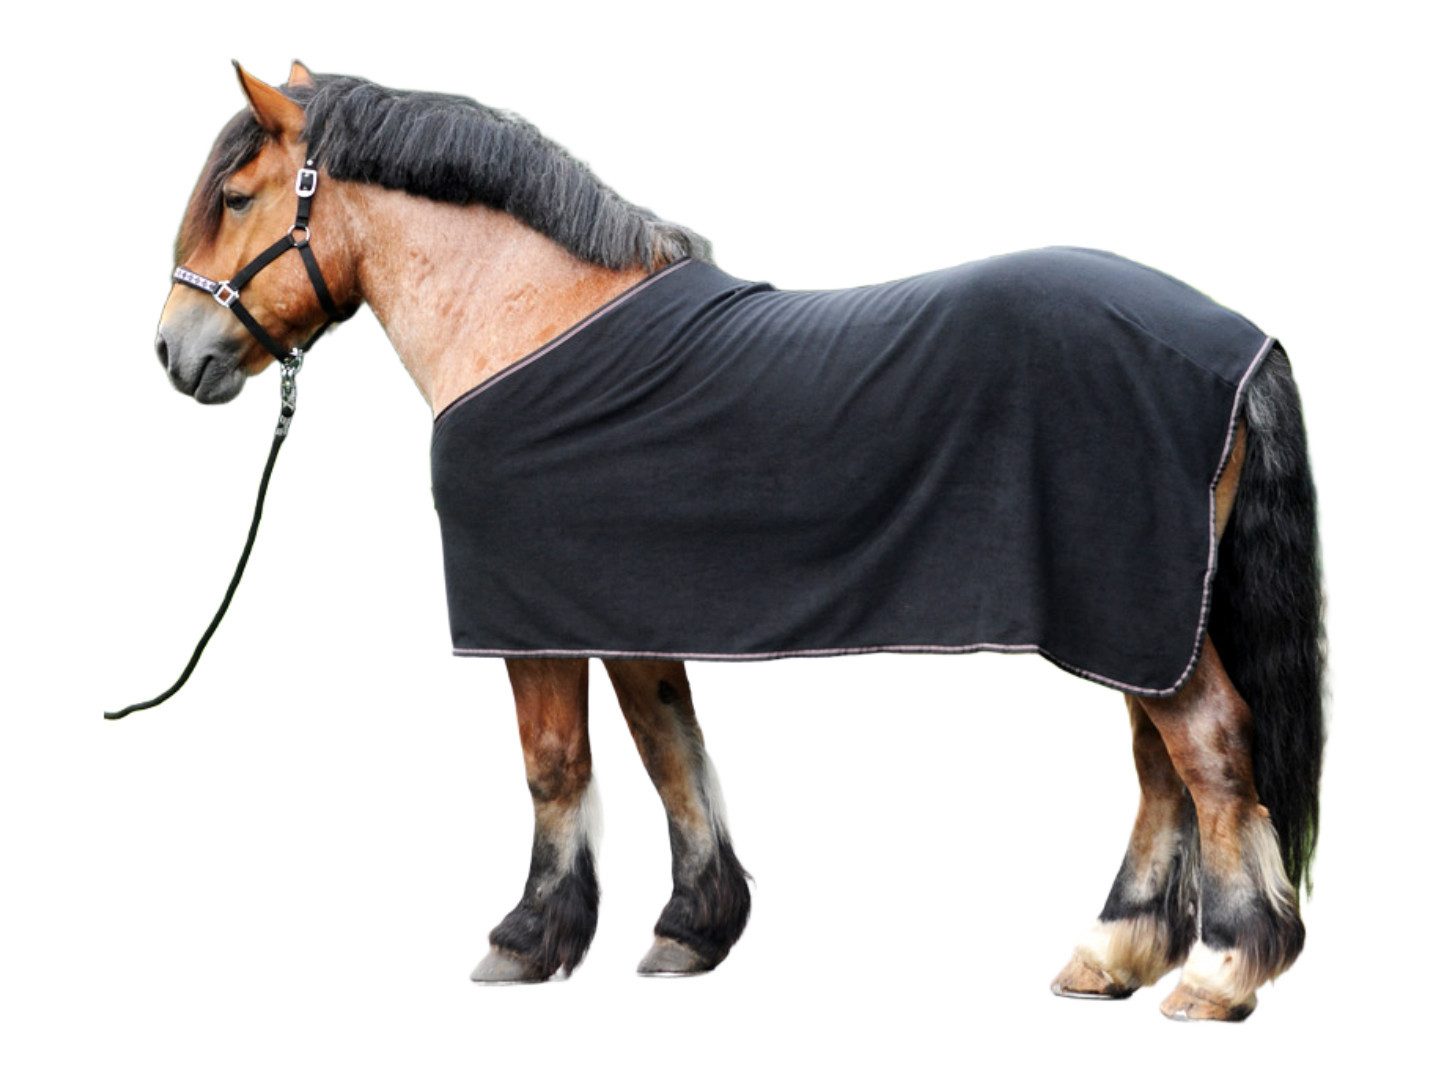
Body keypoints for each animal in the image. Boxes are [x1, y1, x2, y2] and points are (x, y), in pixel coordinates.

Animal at [152, 61, 1324, 1022]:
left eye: (238, 199)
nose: (174, 352)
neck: (530, 320)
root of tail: (1240, 342)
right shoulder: (626, 614)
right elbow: (672, 750)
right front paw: (692, 931)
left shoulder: (529, 621)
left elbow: (555, 766)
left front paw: (527, 942)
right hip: (1141, 621)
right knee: (1162, 770)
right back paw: (1113, 957)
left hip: (1139, 616)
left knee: (1211, 751)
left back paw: (1220, 973)